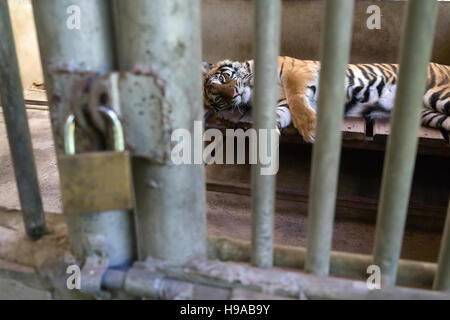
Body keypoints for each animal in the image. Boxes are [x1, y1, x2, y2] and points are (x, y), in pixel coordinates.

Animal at [202, 56, 448, 142]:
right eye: (218, 100)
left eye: (222, 78)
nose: (233, 94)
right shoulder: (281, 104)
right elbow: (278, 115)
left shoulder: (297, 73)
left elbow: (297, 100)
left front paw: (311, 130)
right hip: (432, 114)